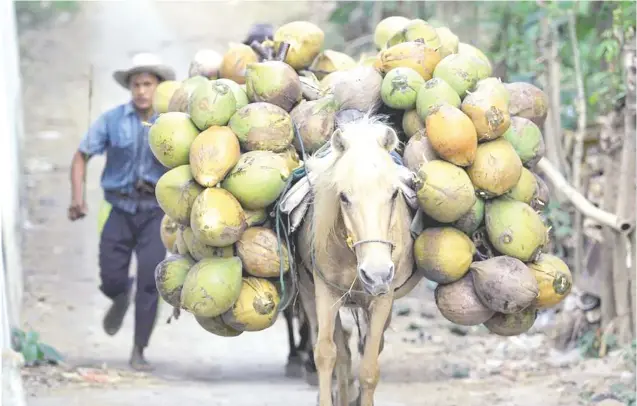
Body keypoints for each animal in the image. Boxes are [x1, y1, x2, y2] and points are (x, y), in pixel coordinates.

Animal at [296, 115, 424, 406]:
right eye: (343, 196)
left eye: (394, 194)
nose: (376, 275)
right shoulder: (326, 292)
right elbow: (326, 354)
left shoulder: (382, 299)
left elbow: (369, 369)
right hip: (309, 294)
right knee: (339, 350)